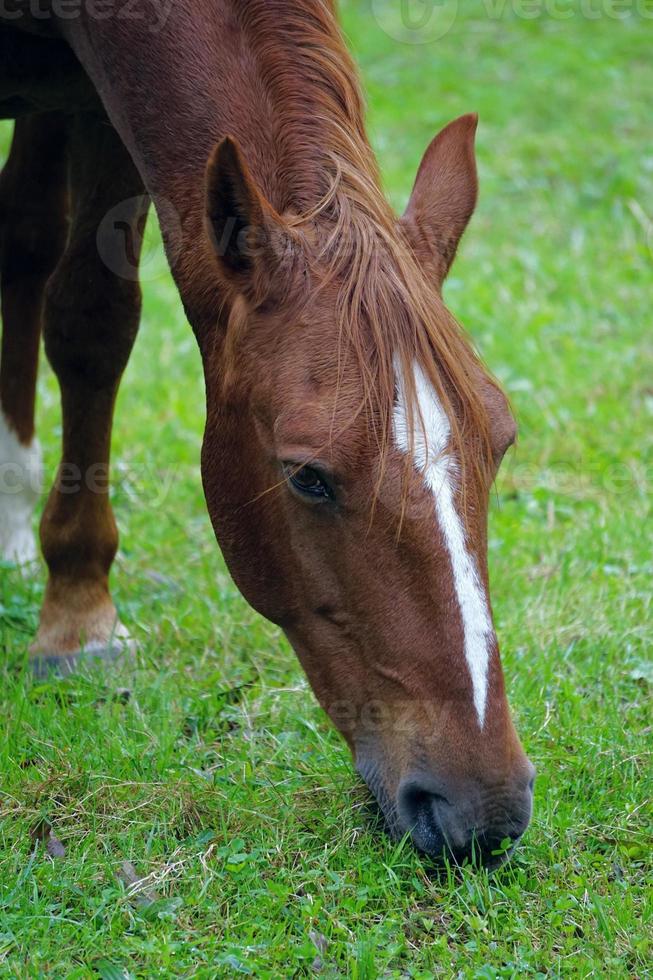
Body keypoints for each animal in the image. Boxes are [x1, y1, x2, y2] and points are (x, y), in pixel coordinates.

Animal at [0, 0, 532, 864]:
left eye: (501, 442)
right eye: (306, 476)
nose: (483, 809)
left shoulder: (98, 99)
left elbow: (93, 316)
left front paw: (75, 605)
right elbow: (83, 315)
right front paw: (76, 619)